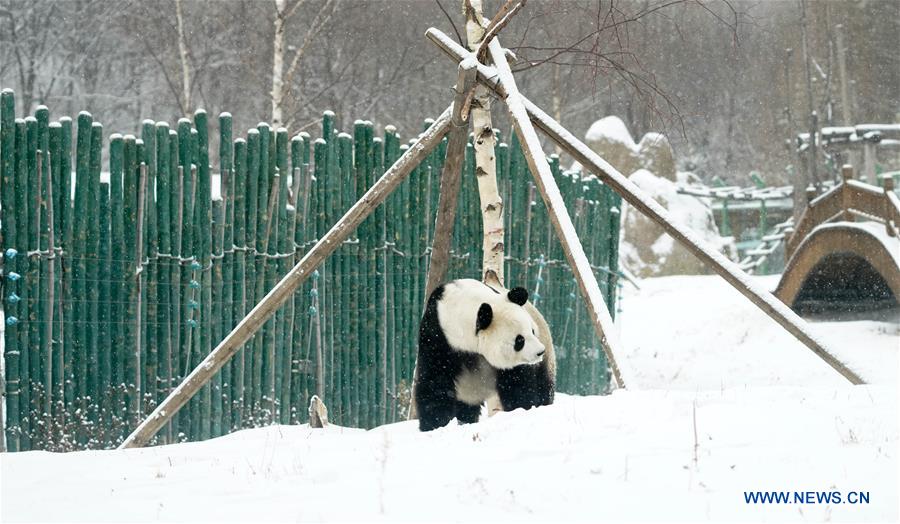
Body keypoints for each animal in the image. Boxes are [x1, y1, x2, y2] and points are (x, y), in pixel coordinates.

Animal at [414, 273, 556, 432]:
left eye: (532, 331)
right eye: (519, 340)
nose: (540, 352)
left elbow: (517, 382)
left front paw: (523, 409)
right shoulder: (437, 337)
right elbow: (435, 382)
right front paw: (434, 425)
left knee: (544, 384)